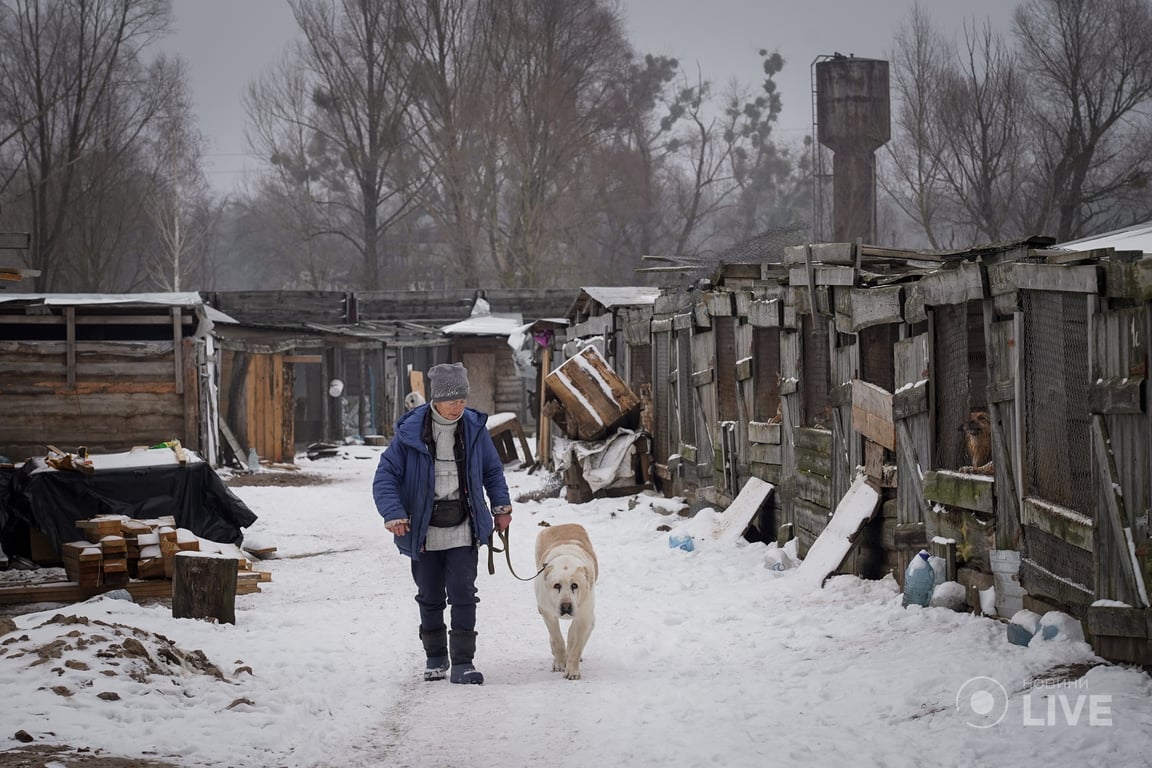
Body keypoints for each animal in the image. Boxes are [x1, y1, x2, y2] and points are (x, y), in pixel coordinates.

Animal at [534, 522, 599, 677]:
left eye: (574, 585)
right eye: (557, 585)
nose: (566, 607)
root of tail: (561, 525)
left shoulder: (585, 617)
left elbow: (577, 645)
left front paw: (572, 671)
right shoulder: (548, 613)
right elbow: (557, 639)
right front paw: (560, 663)